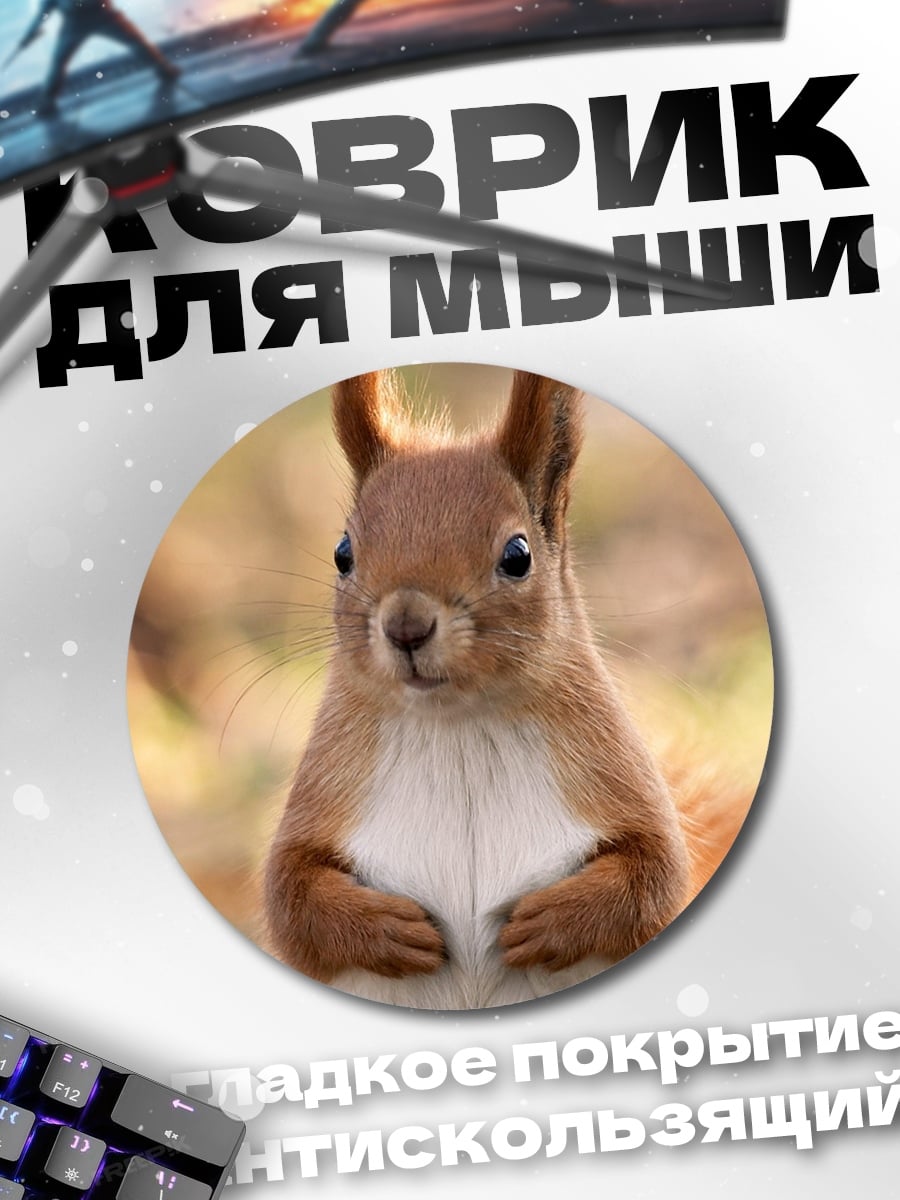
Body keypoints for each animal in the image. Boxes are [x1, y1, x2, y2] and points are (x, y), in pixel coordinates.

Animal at [263, 369, 749, 1009]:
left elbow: (656, 874)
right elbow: (289, 897)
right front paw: (391, 931)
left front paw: (547, 923)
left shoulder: (617, 778)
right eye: (343, 553)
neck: (459, 728)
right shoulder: (327, 790)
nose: (406, 626)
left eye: (517, 555)